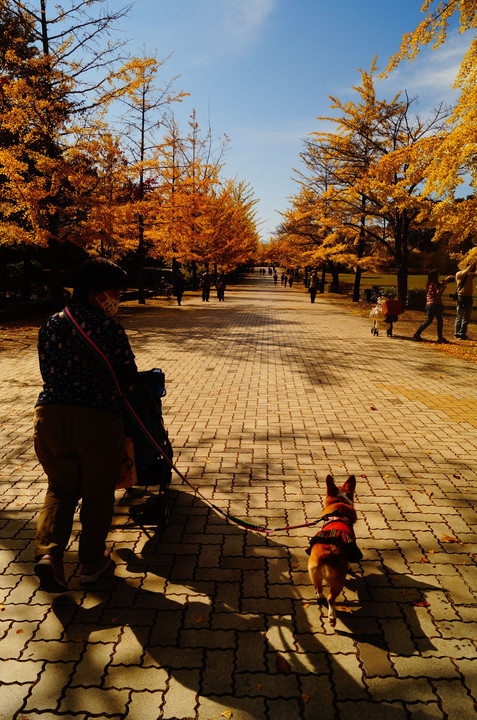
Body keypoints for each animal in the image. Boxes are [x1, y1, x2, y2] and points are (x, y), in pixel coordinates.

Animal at [306, 476, 358, 628]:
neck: (339, 509)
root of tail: (326, 553)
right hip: (338, 581)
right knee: (331, 599)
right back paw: (332, 618)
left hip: (314, 573)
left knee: (319, 589)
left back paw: (320, 597)